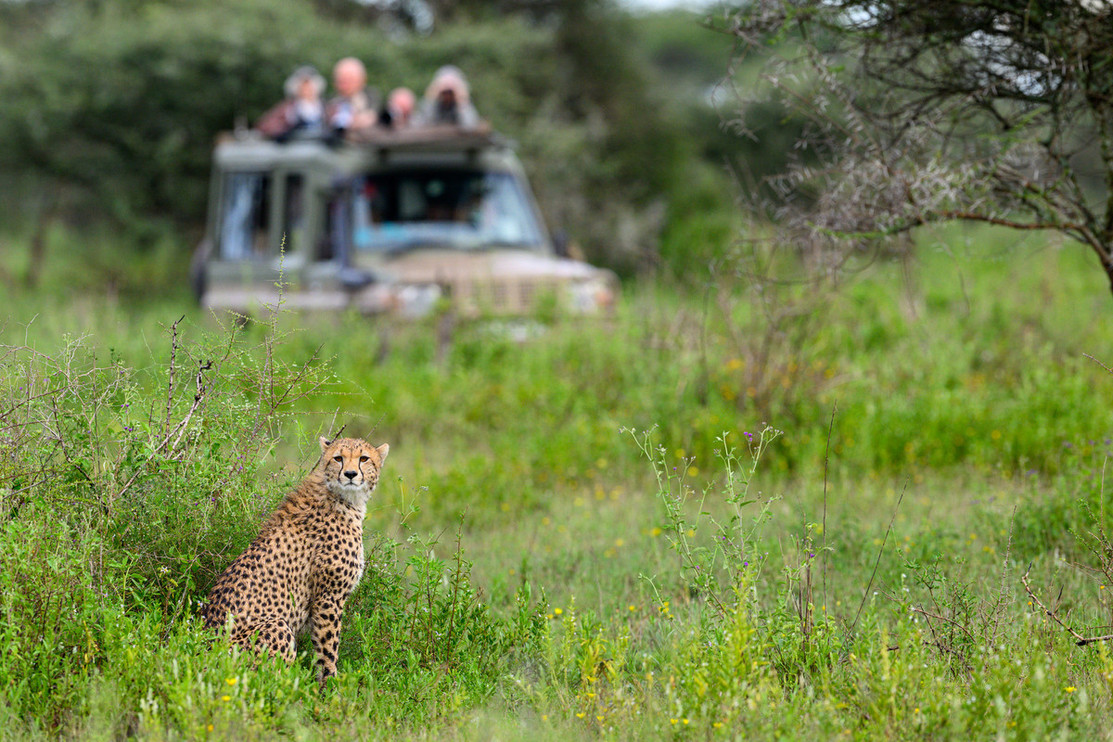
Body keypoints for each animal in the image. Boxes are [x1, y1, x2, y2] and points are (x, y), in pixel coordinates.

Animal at [201, 435, 389, 685]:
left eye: (364, 458)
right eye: (338, 458)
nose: (350, 474)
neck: (341, 497)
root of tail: (202, 654)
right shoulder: (328, 597)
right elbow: (328, 648)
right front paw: (330, 685)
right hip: (276, 625)